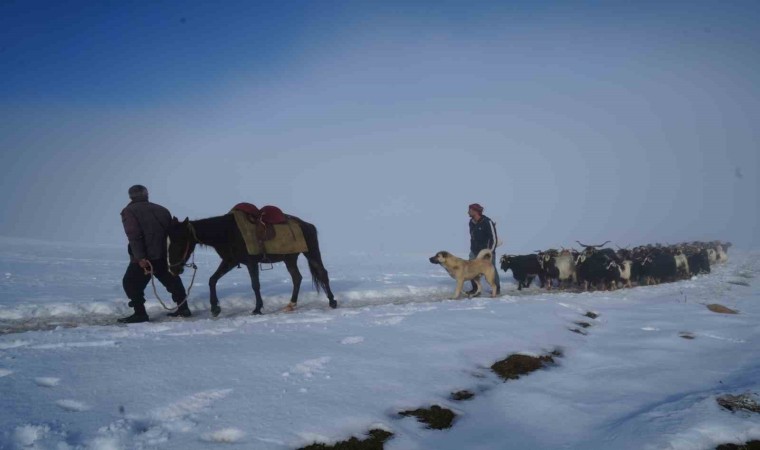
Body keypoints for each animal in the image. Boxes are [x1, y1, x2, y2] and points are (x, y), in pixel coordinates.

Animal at [168, 214, 336, 316]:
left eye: (180, 242)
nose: (173, 269)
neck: (227, 232)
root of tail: (308, 225)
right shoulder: (230, 261)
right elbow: (212, 280)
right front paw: (215, 308)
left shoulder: (251, 263)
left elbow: (255, 285)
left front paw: (257, 308)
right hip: (290, 259)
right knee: (297, 278)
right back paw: (291, 304)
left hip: (311, 253)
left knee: (322, 273)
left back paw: (332, 301)